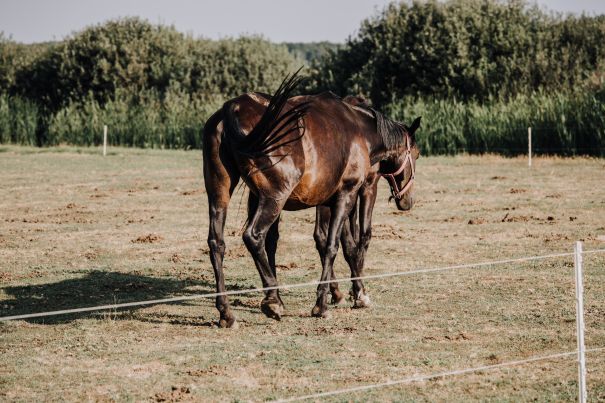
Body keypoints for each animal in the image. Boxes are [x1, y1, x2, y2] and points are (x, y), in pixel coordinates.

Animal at [201, 72, 418, 330]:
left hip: (221, 193)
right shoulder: (353, 192)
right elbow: (344, 243)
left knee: (218, 243)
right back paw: (272, 300)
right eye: (416, 155)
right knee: (254, 236)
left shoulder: (329, 199)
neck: (360, 131)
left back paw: (228, 311)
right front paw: (338, 299)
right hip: (275, 197)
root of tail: (232, 107)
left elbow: (336, 243)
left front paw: (345, 292)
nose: (408, 201)